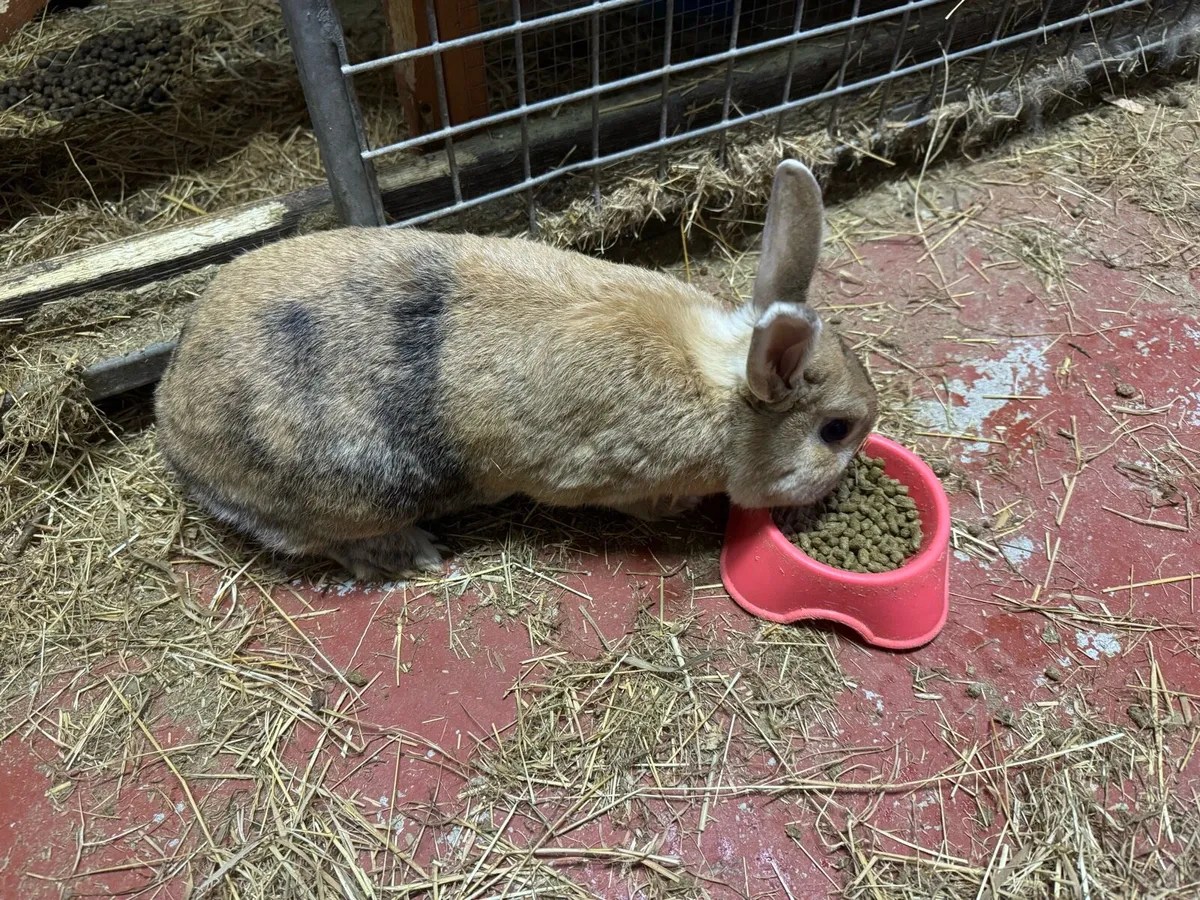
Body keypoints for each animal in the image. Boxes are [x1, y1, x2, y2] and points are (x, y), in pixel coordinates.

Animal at [154, 160, 878, 580]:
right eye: (836, 431)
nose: (843, 483)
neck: (718, 388)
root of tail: (171, 418)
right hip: (346, 496)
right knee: (317, 540)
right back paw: (408, 555)